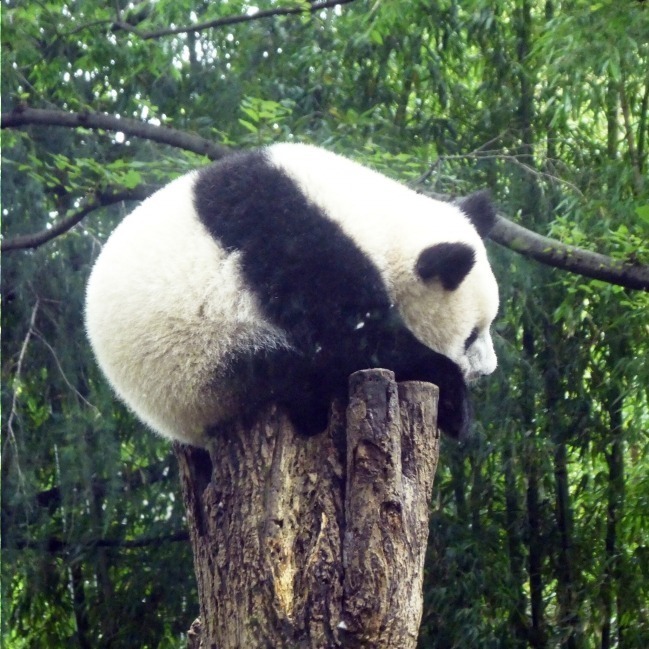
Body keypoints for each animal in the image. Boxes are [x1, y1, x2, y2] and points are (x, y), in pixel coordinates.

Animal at [86, 142, 498, 446]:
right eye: (471, 336)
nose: (488, 369)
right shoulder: (293, 244)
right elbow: (354, 339)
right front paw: (454, 399)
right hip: (200, 363)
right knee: (293, 372)